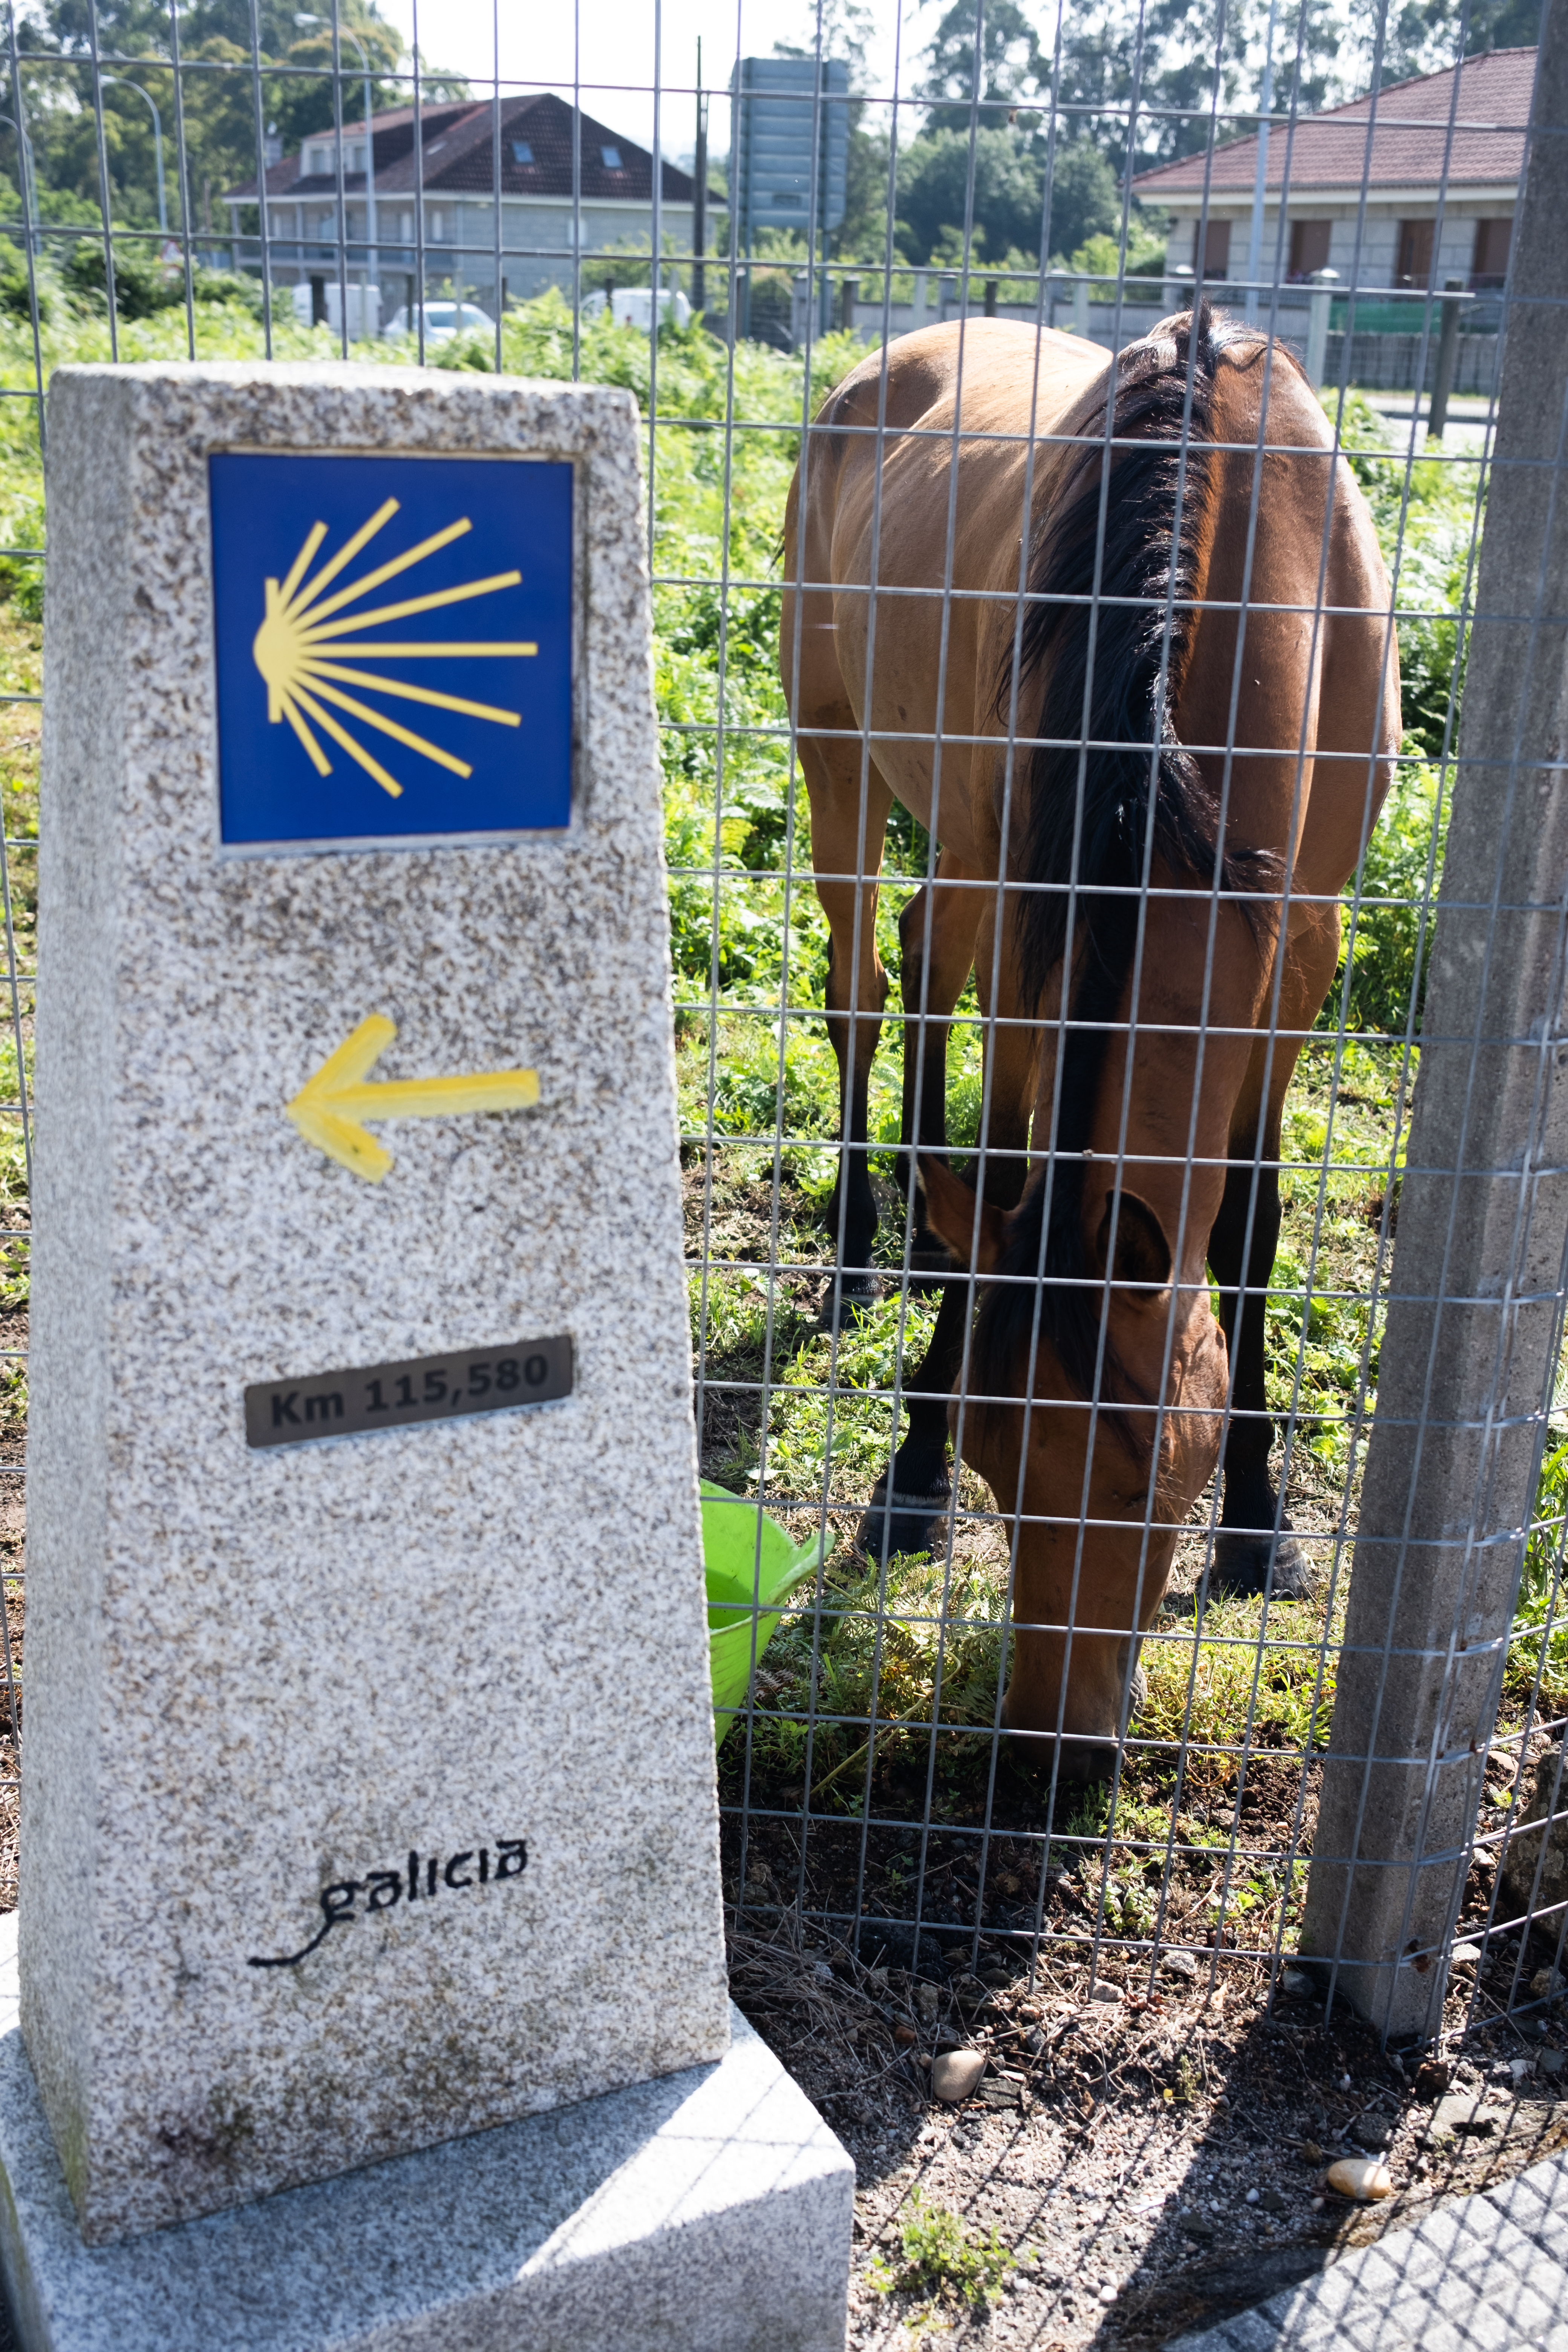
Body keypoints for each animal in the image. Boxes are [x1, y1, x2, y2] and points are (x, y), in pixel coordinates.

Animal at [778, 303, 1399, 1772]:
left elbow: (1248, 1229)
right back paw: (860, 1249)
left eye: (1144, 1479)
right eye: (996, 1463)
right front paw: (907, 1476)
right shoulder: (1038, 926)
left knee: (922, 956)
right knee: (863, 990)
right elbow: (1010, 1170)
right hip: (838, 752)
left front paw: (1259, 1527)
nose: (1053, 1753)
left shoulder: (1298, 955)